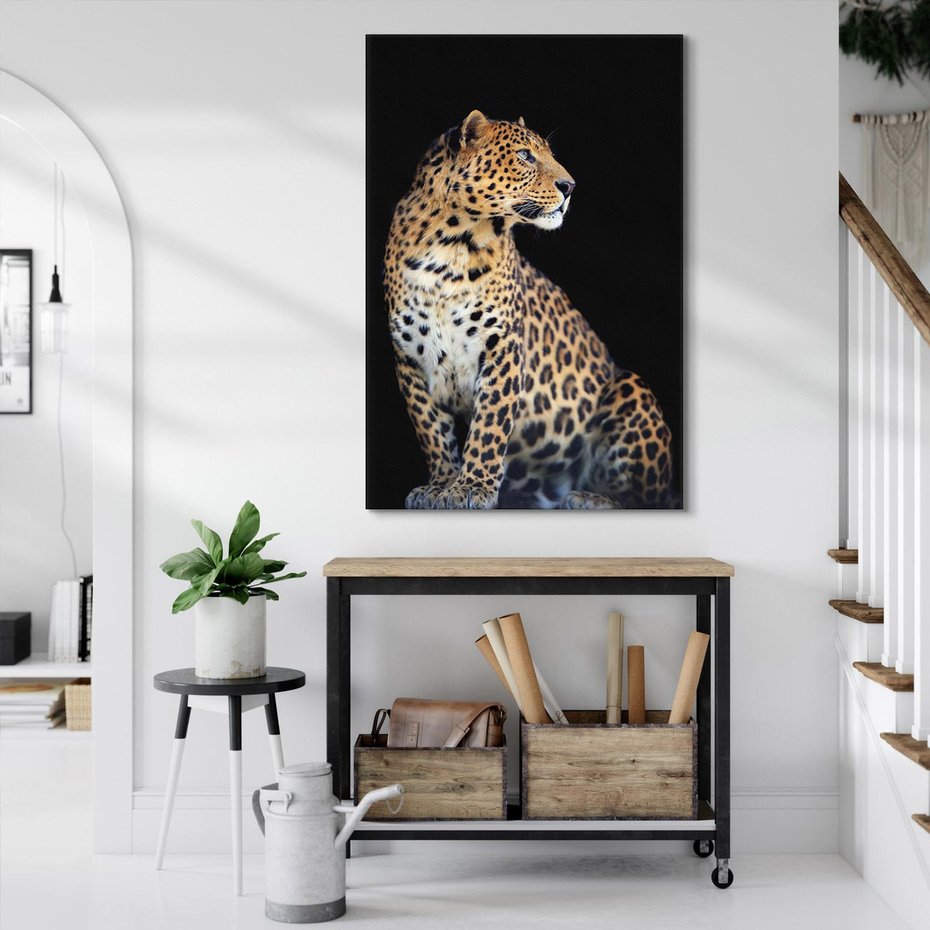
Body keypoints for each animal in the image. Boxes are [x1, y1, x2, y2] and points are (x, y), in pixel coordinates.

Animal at [383, 110, 674, 510]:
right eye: (524, 156)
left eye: (548, 154)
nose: (570, 186)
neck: (450, 246)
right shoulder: (409, 357)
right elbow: (432, 430)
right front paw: (440, 485)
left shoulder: (502, 347)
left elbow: (489, 425)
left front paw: (471, 488)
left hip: (630, 387)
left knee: (647, 499)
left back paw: (592, 498)